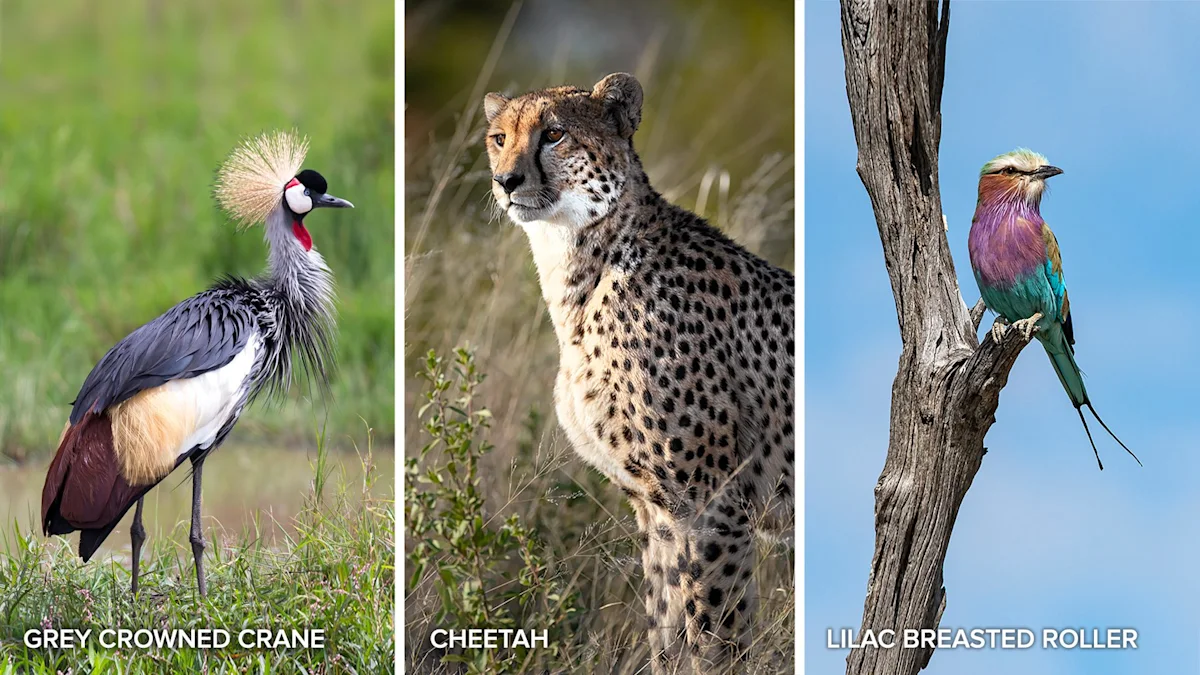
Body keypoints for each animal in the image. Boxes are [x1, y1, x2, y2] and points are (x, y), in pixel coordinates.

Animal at [483, 72, 795, 674]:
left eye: (554, 134)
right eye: (499, 138)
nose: (506, 181)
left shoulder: (711, 506)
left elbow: (714, 638)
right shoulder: (655, 509)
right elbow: (665, 626)